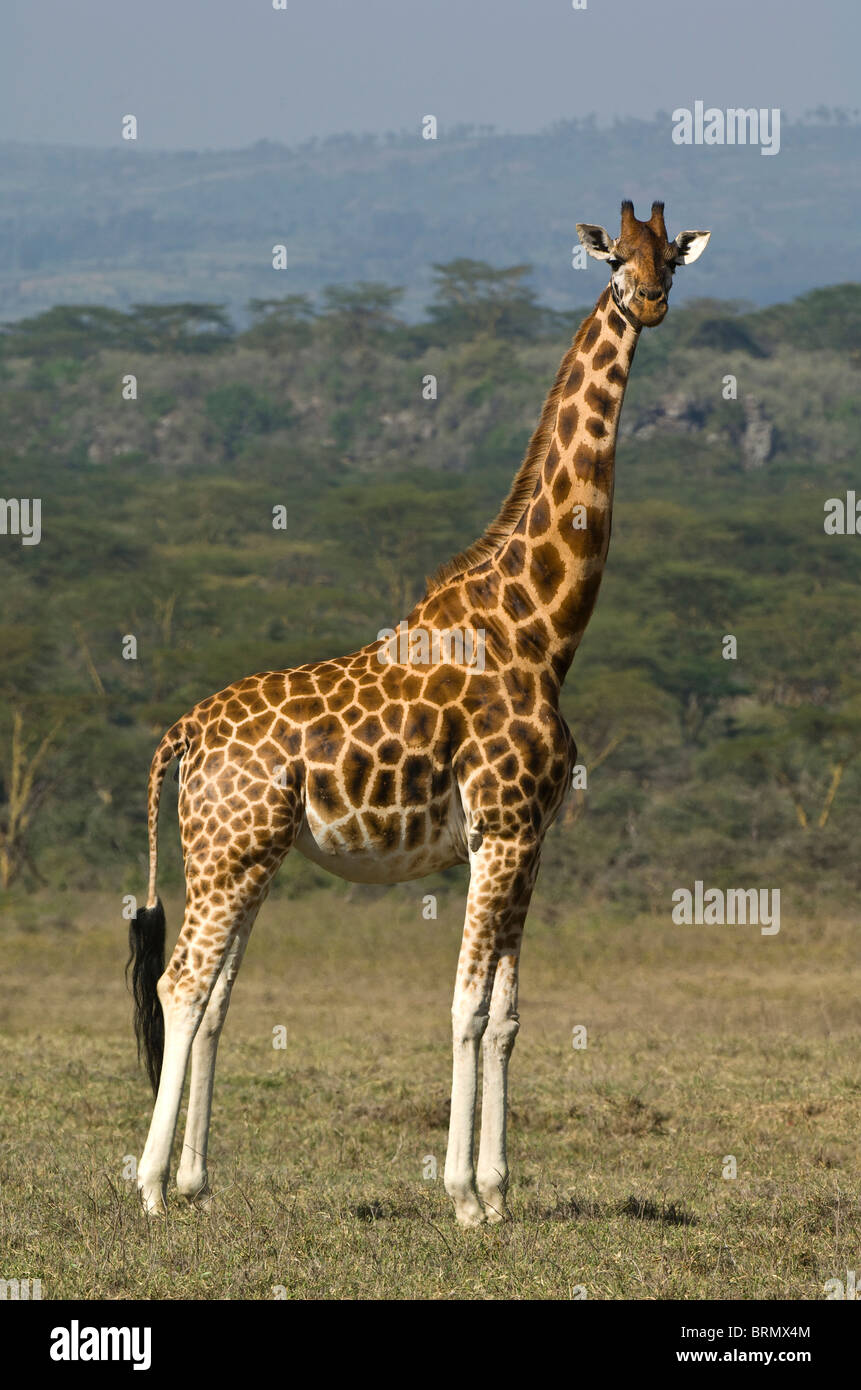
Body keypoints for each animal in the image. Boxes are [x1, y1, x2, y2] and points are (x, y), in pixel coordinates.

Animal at [128, 200, 710, 1226]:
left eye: (669, 258)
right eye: (612, 259)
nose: (648, 301)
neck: (538, 630)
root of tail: (183, 733)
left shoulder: (519, 842)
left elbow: (508, 1014)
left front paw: (499, 1193)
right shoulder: (502, 829)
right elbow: (465, 1006)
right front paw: (463, 1197)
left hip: (246, 856)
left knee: (217, 994)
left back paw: (196, 1183)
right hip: (229, 851)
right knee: (182, 982)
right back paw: (153, 1188)